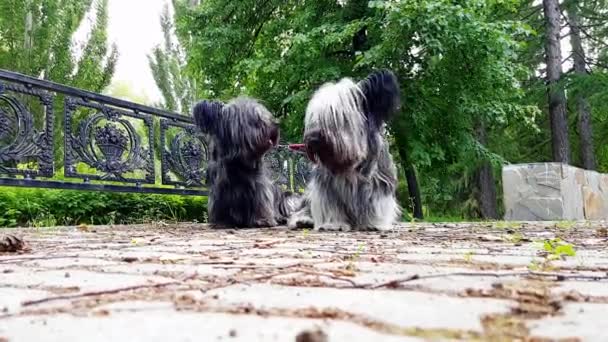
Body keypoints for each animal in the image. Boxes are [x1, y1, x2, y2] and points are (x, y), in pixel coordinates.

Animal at [192, 97, 300, 228]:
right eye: (254, 119)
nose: (276, 124)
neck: (237, 161)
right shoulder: (219, 189)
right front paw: (222, 222)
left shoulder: (258, 186)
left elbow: (260, 202)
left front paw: (262, 220)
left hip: (288, 198)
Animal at [290, 70, 404, 231]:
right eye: (315, 116)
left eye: (335, 116)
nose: (312, 139)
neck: (347, 164)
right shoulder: (326, 186)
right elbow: (330, 205)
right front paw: (333, 224)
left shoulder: (379, 181)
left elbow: (376, 202)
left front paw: (374, 223)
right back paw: (303, 220)